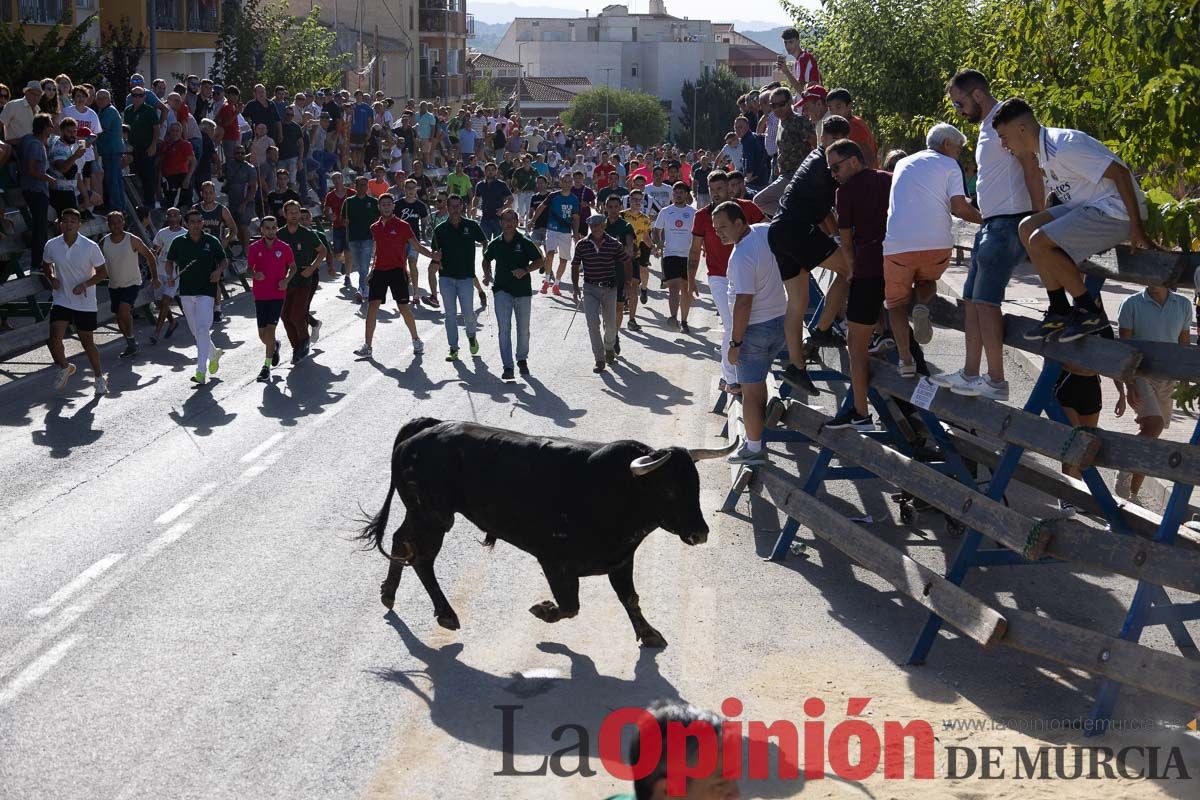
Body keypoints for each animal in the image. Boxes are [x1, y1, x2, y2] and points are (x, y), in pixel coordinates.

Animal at [355, 417, 729, 647]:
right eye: (668, 490)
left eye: (696, 486)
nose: (701, 533)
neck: (616, 490)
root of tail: (425, 428)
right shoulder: (554, 561)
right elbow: (569, 606)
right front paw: (543, 609)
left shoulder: (621, 560)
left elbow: (630, 598)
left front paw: (648, 634)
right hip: (434, 517)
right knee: (422, 558)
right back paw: (446, 614)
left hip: (421, 514)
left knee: (401, 541)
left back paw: (389, 594)